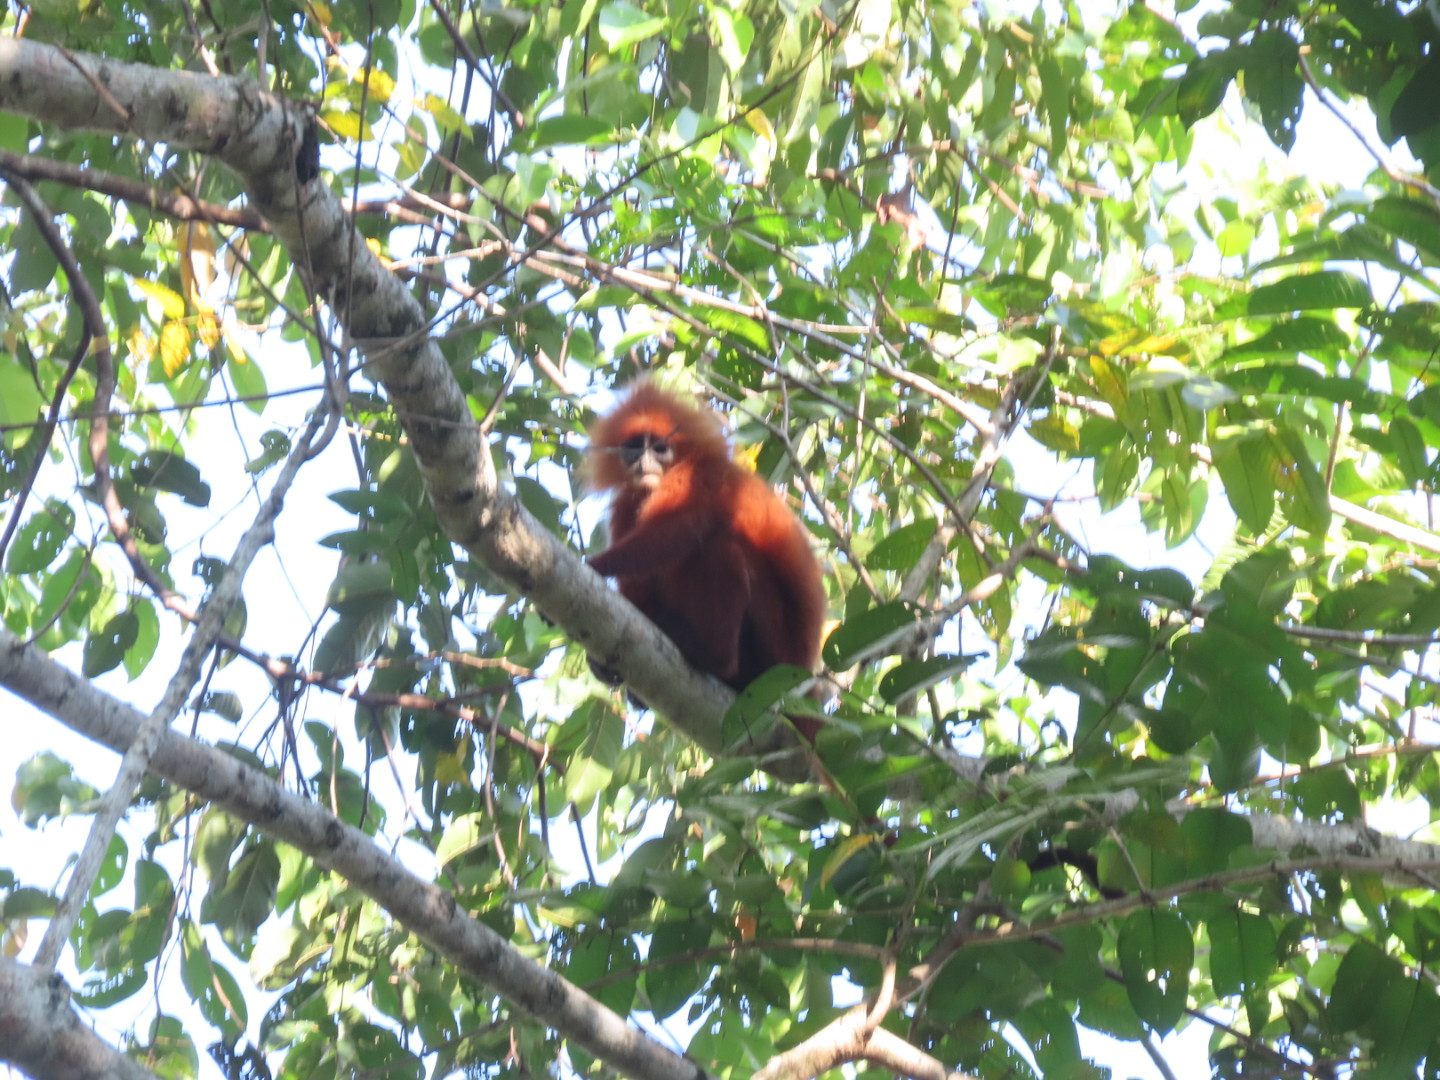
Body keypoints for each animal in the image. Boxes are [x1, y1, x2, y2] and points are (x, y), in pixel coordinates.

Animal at [586, 382, 827, 735]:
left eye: (659, 448)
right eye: (634, 448)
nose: (644, 461)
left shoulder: (695, 476)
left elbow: (680, 530)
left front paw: (593, 566)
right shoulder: (627, 502)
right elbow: (640, 581)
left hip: (774, 651)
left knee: (719, 546)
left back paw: (711, 655)